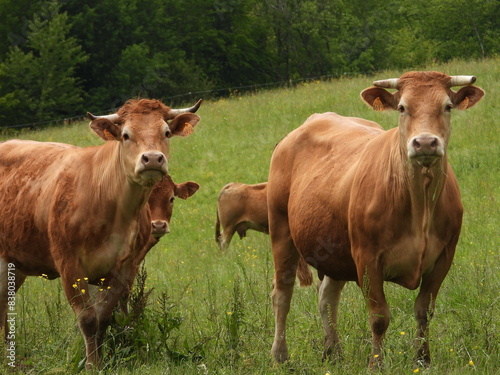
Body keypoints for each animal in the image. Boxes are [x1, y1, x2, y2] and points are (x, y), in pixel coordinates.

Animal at [270, 72, 484, 368]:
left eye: (447, 106)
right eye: (402, 108)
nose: (425, 142)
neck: (419, 205)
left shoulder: (444, 257)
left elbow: (424, 310)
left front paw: (423, 360)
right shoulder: (366, 258)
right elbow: (379, 317)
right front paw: (376, 363)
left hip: (335, 249)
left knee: (327, 297)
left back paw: (333, 352)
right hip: (281, 231)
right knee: (282, 294)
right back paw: (280, 355)